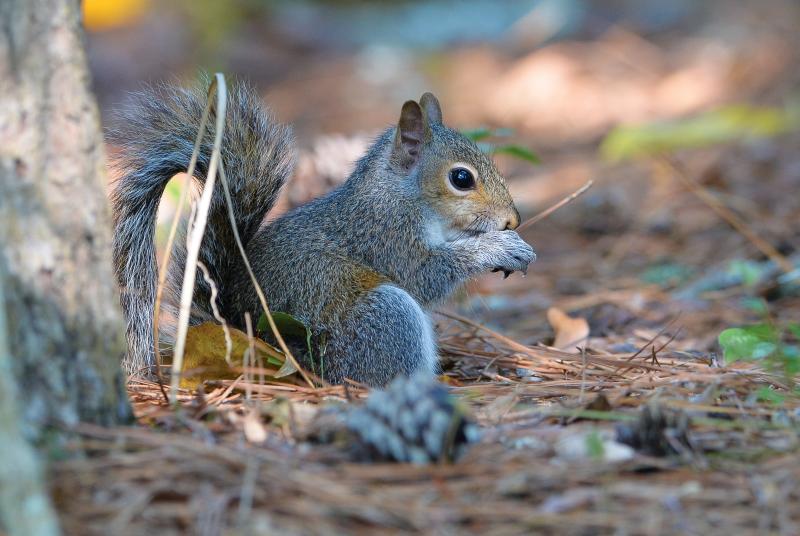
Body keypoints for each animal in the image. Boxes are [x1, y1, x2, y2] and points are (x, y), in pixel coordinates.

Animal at [111, 81, 535, 386]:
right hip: (382, 318)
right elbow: (425, 275)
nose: (512, 220)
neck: (398, 195)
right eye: (461, 178)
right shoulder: (384, 238)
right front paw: (497, 248)